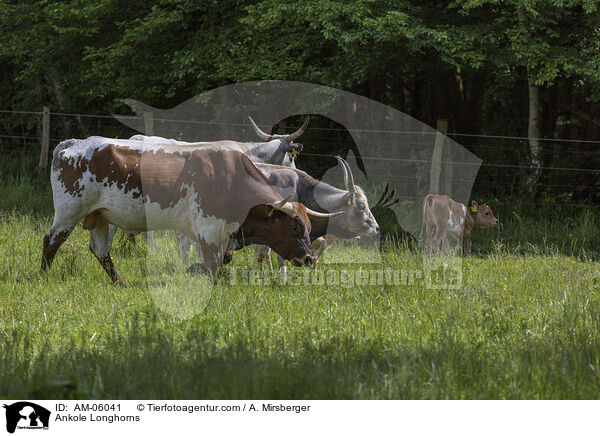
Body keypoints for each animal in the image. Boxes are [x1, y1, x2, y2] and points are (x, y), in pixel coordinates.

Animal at [41, 138, 342, 284]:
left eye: (308, 226)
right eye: (294, 226)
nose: (308, 258)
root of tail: (72, 144)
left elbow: (223, 258)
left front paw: (192, 270)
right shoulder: (208, 229)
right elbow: (213, 263)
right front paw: (200, 276)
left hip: (101, 216)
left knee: (101, 251)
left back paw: (120, 283)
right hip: (69, 212)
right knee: (52, 241)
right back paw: (43, 277)